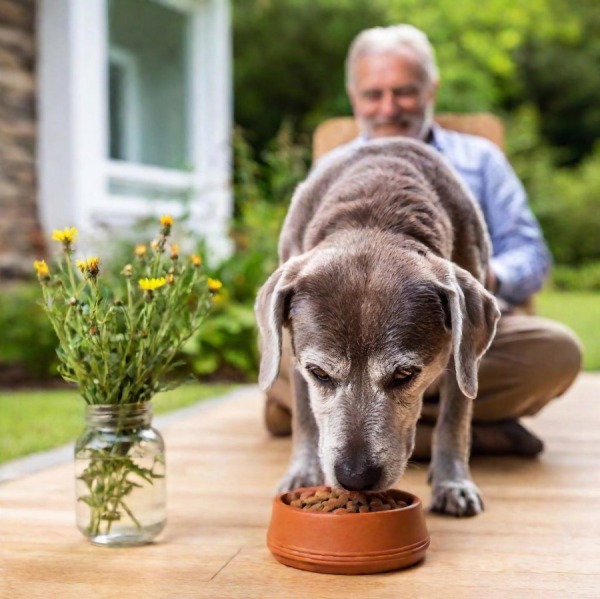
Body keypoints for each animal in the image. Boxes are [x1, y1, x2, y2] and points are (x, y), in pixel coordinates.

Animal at [255, 138, 500, 516]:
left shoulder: (462, 353)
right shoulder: (294, 352)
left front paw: (453, 484)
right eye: (319, 373)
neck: (376, 215)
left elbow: (455, 417)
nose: (355, 477)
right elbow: (305, 416)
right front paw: (303, 473)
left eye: (405, 375)